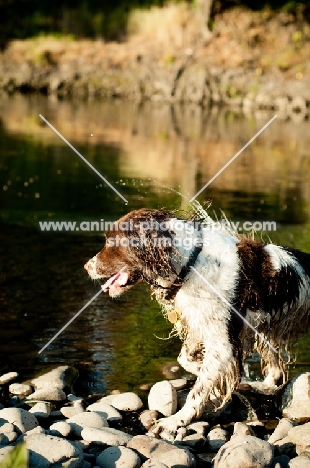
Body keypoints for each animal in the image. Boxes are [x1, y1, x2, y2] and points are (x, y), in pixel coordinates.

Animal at [83, 208, 310, 436]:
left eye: (110, 241)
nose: (86, 267)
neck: (190, 264)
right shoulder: (199, 324)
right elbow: (187, 360)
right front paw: (233, 379)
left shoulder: (222, 341)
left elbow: (199, 389)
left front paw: (176, 421)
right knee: (275, 373)